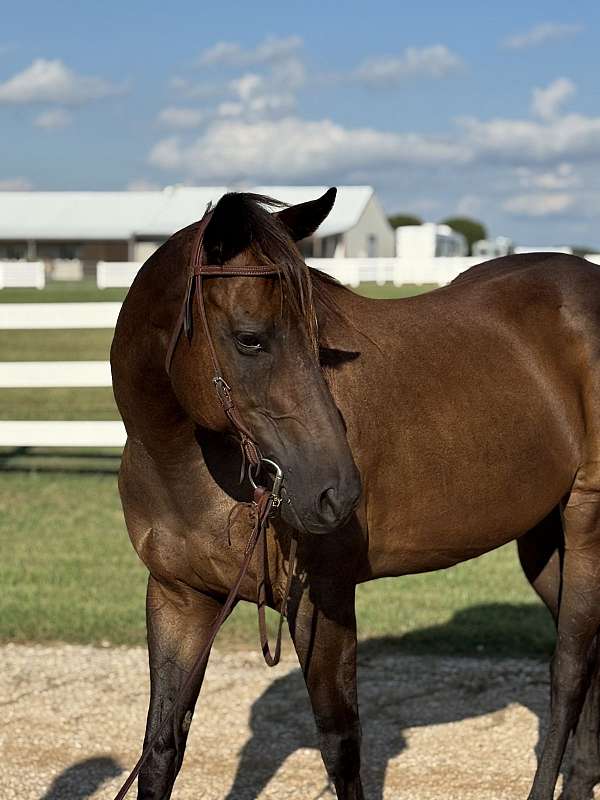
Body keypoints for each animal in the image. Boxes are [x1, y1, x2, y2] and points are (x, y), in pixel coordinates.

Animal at [111, 188, 600, 800]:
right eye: (250, 339)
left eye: (319, 341)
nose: (336, 494)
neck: (186, 465)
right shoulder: (179, 598)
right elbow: (160, 750)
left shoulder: (323, 600)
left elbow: (341, 747)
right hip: (542, 541)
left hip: (587, 521)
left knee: (570, 670)